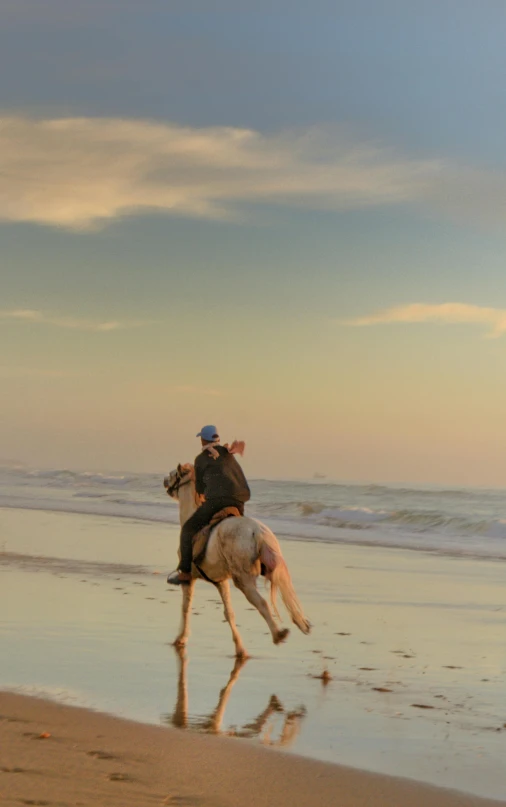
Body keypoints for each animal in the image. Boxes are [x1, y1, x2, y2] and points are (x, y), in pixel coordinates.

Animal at [164, 464, 310, 660]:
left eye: (173, 475)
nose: (164, 481)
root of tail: (258, 532)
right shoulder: (221, 581)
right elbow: (229, 613)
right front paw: (240, 649)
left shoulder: (190, 579)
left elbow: (186, 608)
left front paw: (181, 638)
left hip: (243, 580)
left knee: (262, 603)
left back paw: (278, 635)